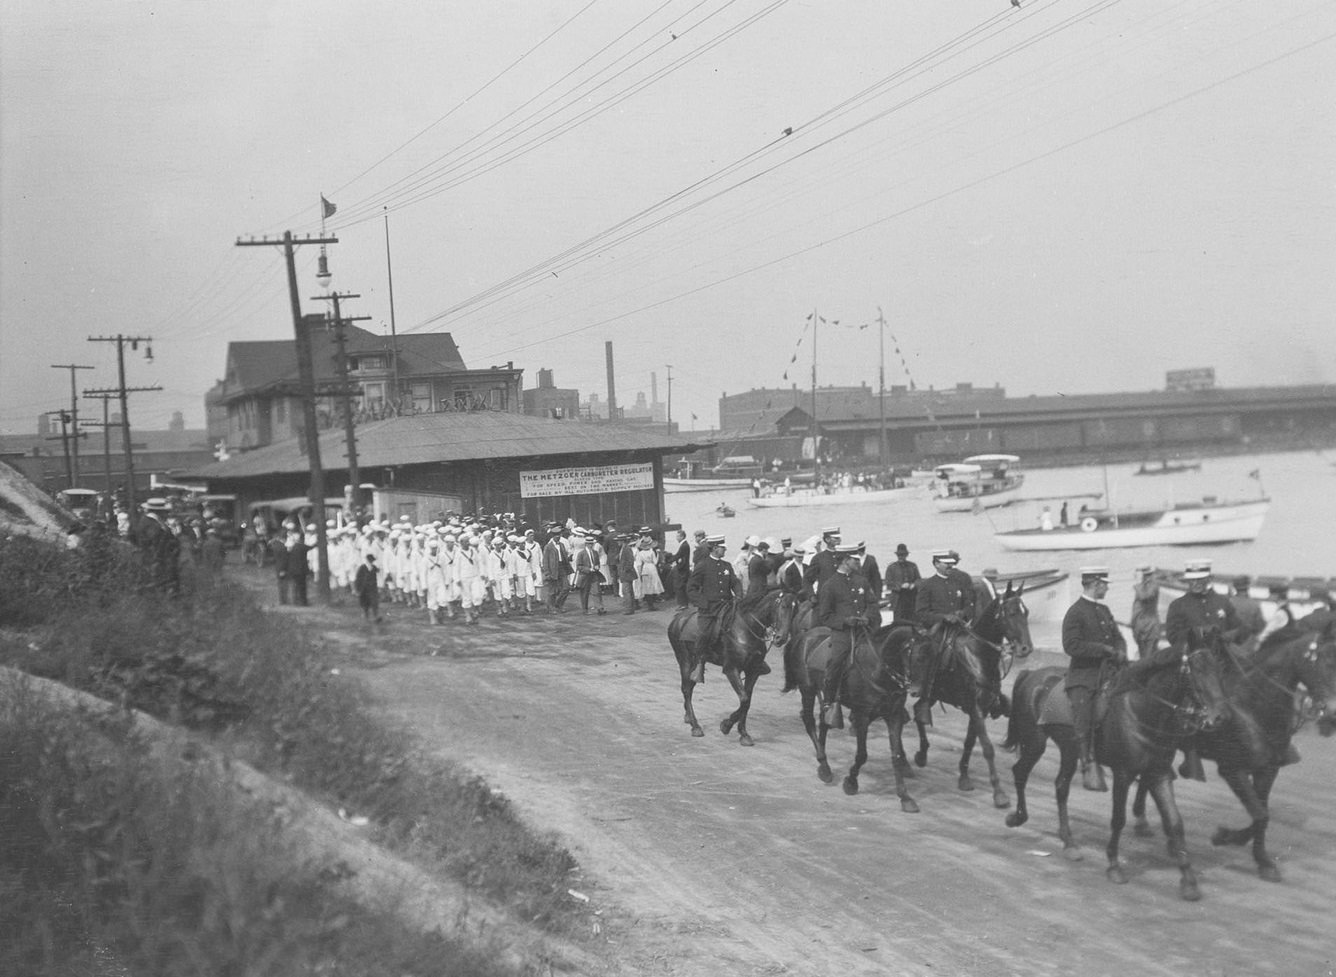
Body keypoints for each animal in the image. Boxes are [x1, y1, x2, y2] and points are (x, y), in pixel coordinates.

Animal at [665, 588, 790, 748]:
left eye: (795, 609)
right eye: (783, 607)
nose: (781, 638)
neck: (747, 629)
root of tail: (677, 619)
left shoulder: (753, 671)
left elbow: (747, 701)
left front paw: (743, 734)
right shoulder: (731, 669)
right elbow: (744, 699)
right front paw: (726, 725)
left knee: (689, 687)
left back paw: (688, 716)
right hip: (685, 661)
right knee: (686, 689)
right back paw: (695, 726)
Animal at [780, 622, 919, 812]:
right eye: (913, 651)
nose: (916, 688)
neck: (877, 669)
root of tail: (804, 635)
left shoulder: (894, 715)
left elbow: (896, 755)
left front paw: (905, 797)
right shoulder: (862, 715)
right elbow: (862, 754)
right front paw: (851, 783)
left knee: (823, 719)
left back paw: (822, 762)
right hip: (807, 689)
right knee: (809, 720)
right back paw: (824, 765)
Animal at [897, 585, 1031, 807]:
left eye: (1026, 612)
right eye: (1011, 613)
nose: (1026, 648)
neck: (978, 655)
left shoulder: (980, 709)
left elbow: (969, 742)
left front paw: (964, 777)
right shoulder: (975, 708)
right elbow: (987, 748)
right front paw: (999, 793)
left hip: (932, 695)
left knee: (918, 712)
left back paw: (921, 755)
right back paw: (906, 763)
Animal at [1004, 633, 1229, 903]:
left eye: (1219, 668)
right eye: (1196, 669)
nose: (1219, 718)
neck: (1142, 711)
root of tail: (1032, 675)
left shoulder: (1159, 774)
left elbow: (1175, 821)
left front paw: (1188, 881)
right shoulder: (1124, 774)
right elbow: (1118, 819)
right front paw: (1114, 865)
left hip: (1069, 750)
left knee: (1061, 787)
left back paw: (1069, 842)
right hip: (1035, 743)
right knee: (1020, 772)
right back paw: (1017, 817)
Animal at [1127, 630, 1336, 882]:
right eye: (1322, 662)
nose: (1332, 712)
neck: (1252, 708)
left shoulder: (1267, 770)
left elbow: (1262, 814)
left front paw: (1262, 861)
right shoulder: (1232, 770)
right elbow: (1260, 815)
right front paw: (1225, 837)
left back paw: (1151, 826)